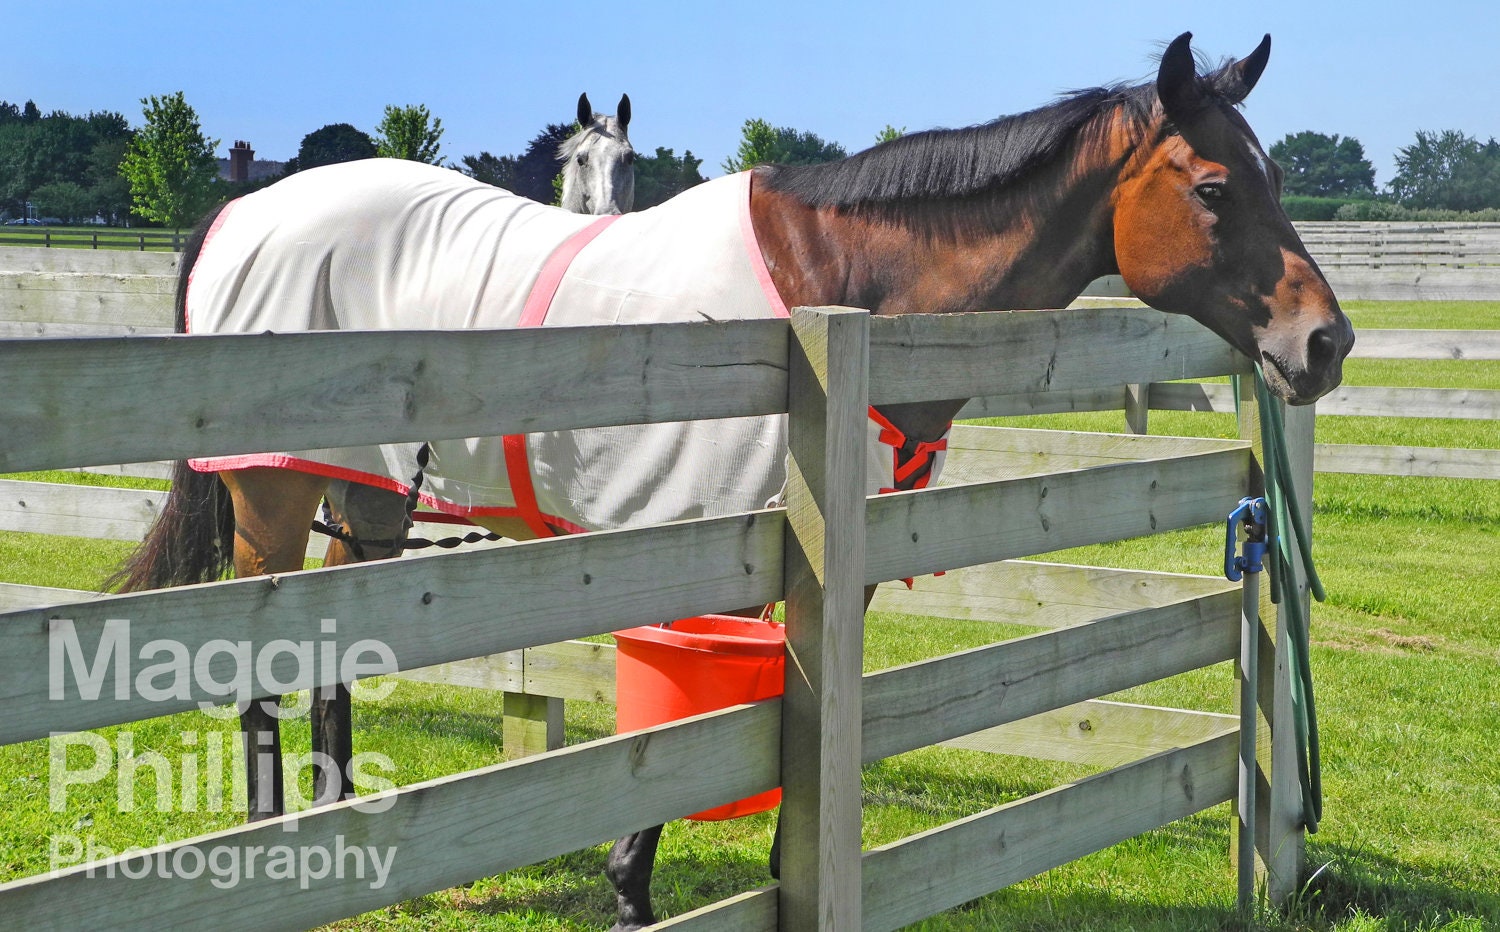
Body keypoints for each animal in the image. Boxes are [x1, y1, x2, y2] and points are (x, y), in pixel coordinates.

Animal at [112, 32, 1351, 930]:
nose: (1325, 343)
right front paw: (630, 889)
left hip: (364, 494)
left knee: (334, 640)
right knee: (266, 662)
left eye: (1278, 174)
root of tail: (241, 209)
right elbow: (680, 740)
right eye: (1211, 186)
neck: (836, 292)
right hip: (271, 496)